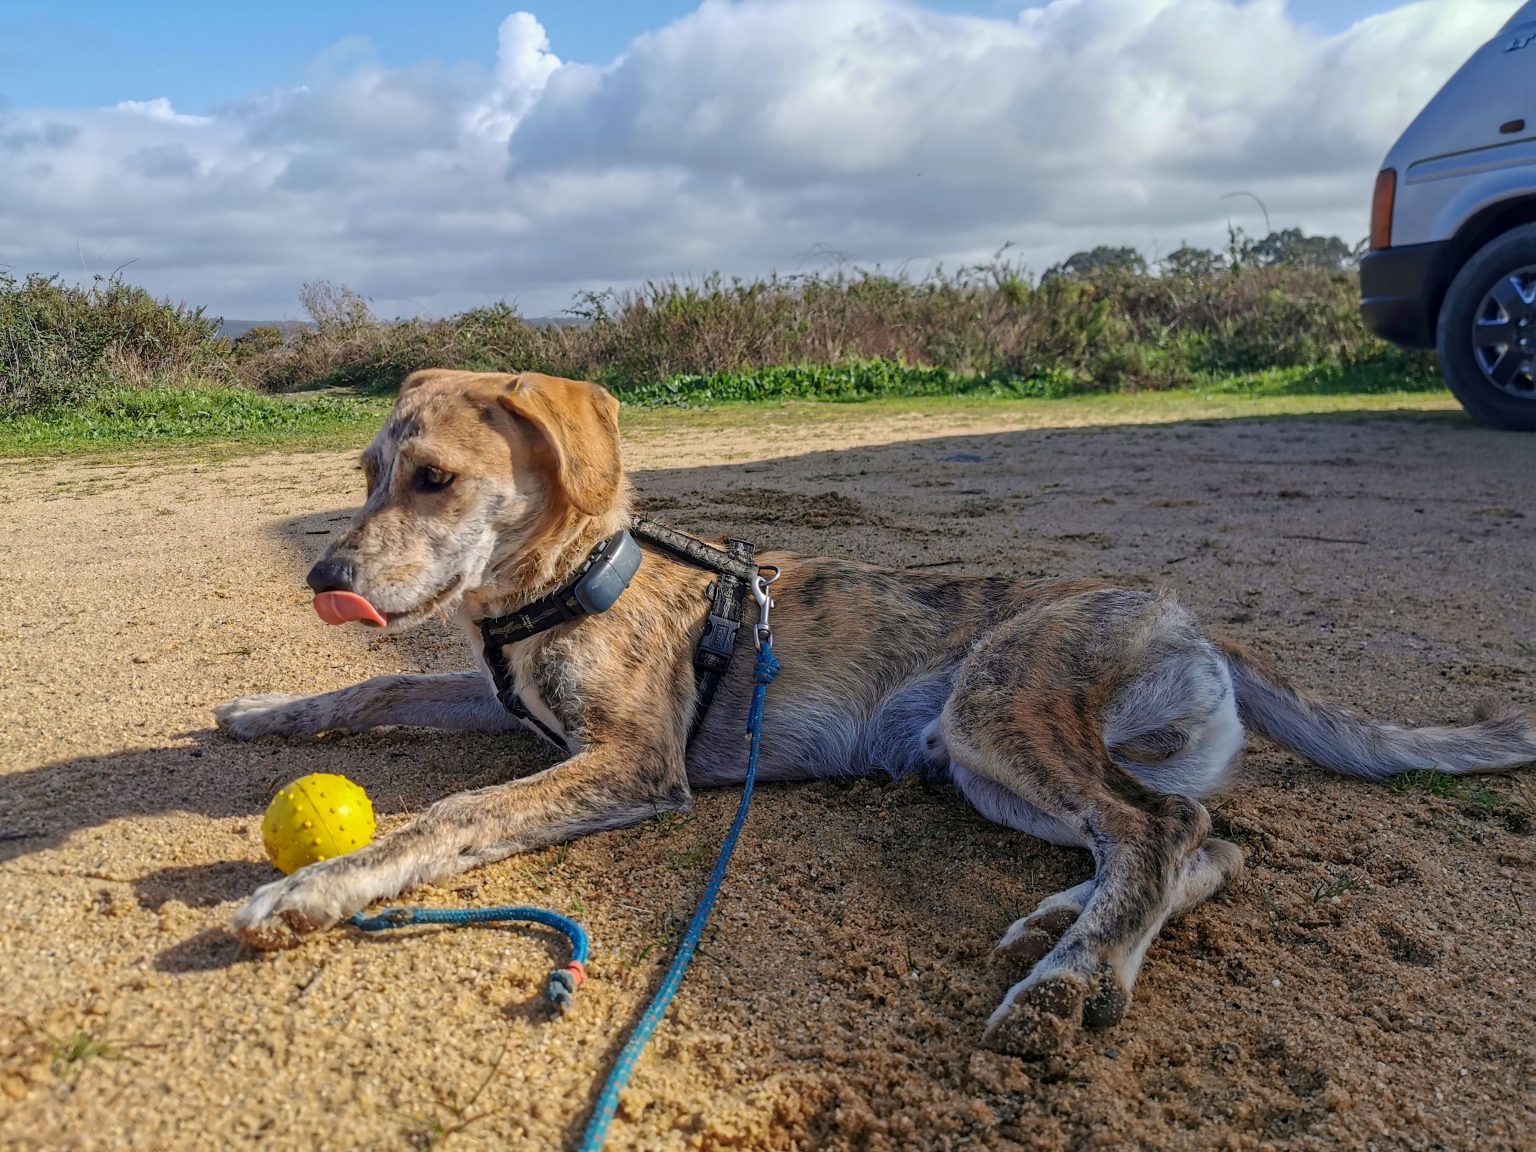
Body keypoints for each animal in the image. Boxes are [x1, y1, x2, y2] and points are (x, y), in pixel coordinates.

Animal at [219, 367, 1536, 1056]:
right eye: (365, 477)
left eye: (435, 478)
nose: (323, 579)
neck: (560, 584)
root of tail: (1178, 610)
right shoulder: (507, 705)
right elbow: (379, 684)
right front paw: (261, 708)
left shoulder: (630, 762)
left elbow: (450, 815)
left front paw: (311, 889)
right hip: (985, 761)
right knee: (1201, 842)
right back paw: (1066, 925)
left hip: (1000, 709)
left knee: (1161, 833)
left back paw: (1064, 984)